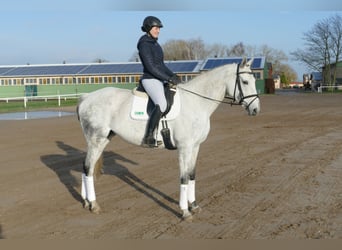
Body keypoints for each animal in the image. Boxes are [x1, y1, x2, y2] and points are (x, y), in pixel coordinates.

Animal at [77, 57, 260, 220]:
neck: (196, 102)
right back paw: (94, 204)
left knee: (87, 168)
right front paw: (185, 212)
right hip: (96, 140)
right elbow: (183, 177)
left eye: (254, 79)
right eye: (245, 82)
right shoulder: (184, 148)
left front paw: (194, 206)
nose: (256, 110)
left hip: (103, 139)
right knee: (87, 168)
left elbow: (192, 174)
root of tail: (86, 98)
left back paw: (86, 202)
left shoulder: (195, 146)